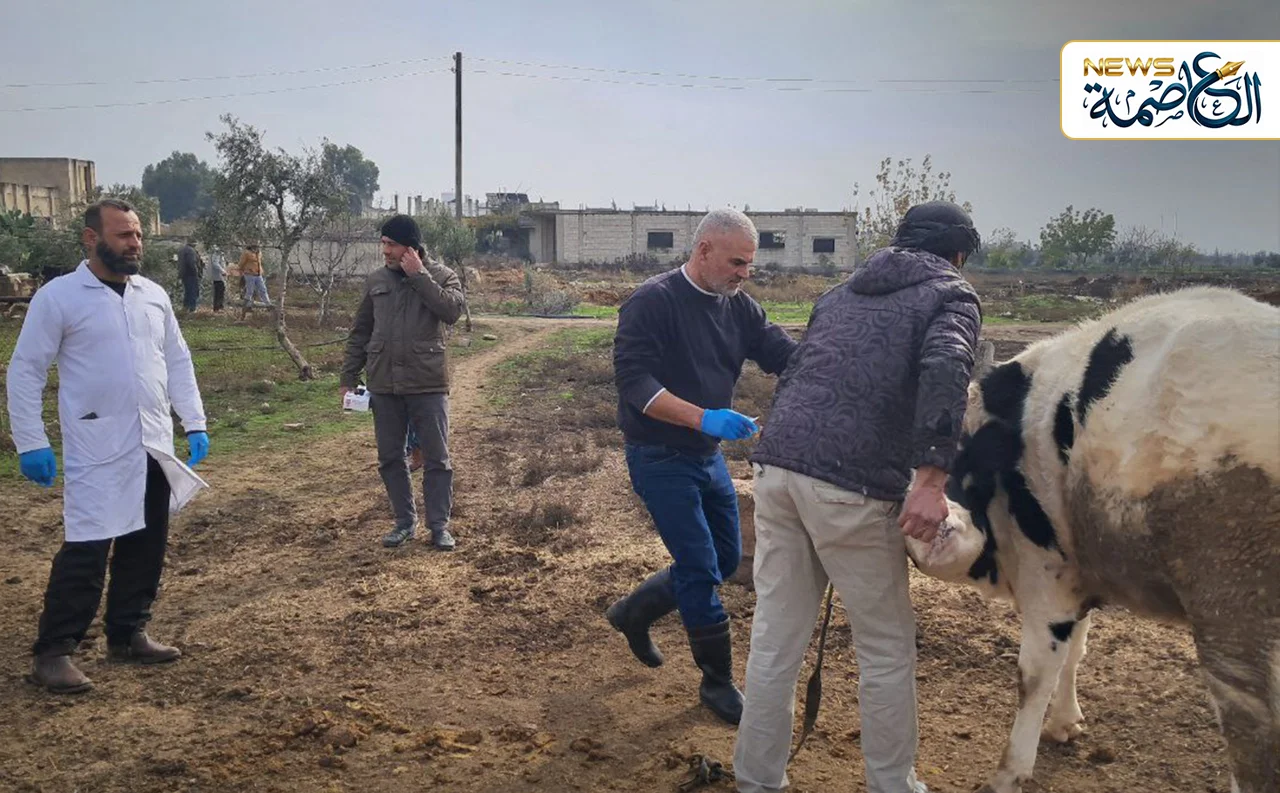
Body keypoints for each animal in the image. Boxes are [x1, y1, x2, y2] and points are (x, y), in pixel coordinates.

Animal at [907, 286, 1280, 793]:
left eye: (963, 461)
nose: (938, 527)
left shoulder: (1047, 574)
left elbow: (1036, 672)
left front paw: (1009, 772)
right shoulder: (1080, 571)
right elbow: (1077, 650)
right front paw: (1064, 725)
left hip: (1235, 619)